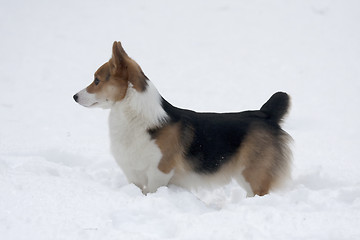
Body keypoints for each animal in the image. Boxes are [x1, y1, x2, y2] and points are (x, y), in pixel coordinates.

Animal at [74, 41, 292, 196]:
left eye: (96, 80)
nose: (74, 96)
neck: (136, 118)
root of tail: (266, 114)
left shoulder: (159, 173)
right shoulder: (133, 175)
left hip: (254, 176)